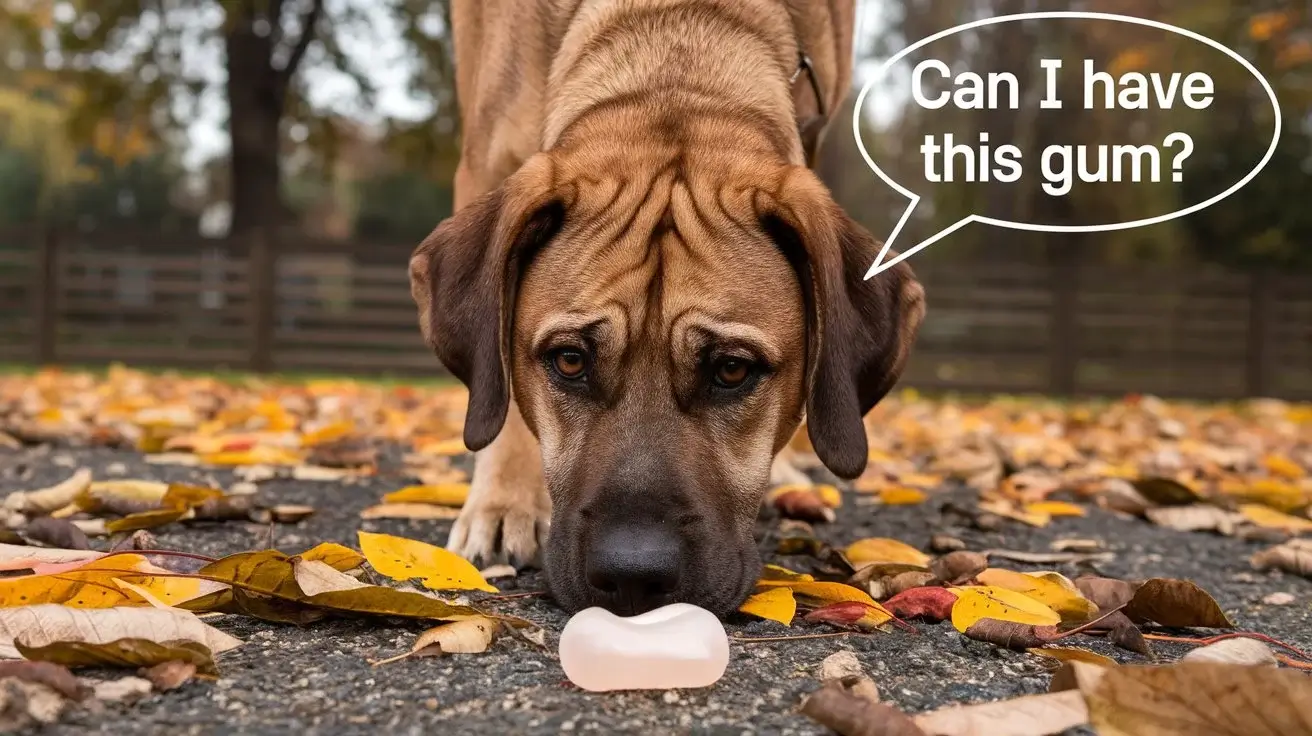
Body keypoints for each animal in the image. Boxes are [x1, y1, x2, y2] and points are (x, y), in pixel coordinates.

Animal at [409, 0, 923, 616]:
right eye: (569, 361)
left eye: (733, 369)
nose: (632, 576)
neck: (677, 41)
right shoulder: (491, 157)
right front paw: (504, 502)